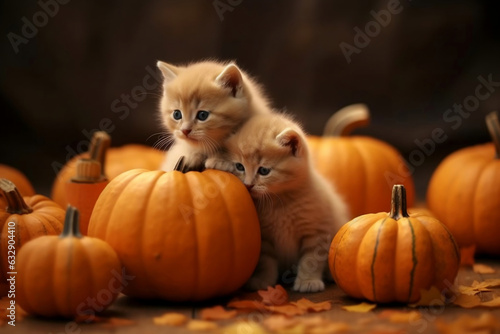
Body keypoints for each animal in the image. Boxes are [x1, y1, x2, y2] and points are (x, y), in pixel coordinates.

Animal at [205, 113, 350, 292]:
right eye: (239, 167)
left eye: (264, 170)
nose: (248, 184)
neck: (279, 202)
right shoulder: (265, 239)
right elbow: (266, 262)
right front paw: (263, 280)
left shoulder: (317, 231)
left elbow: (311, 260)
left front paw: (308, 281)